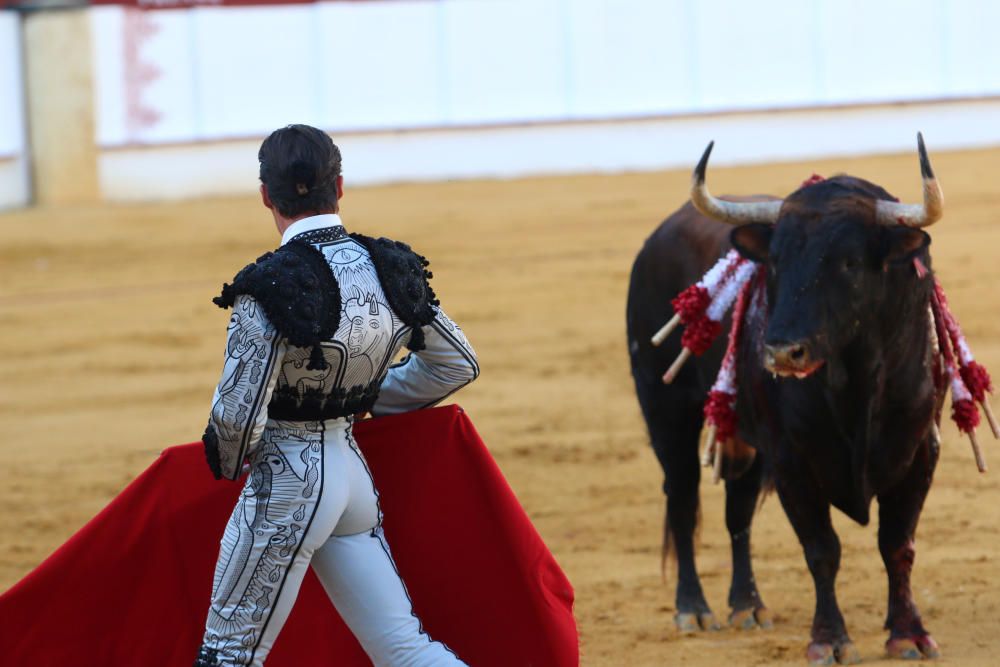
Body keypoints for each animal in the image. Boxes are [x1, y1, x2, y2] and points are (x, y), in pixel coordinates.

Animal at [628, 136, 948, 664]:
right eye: (774, 260)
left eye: (849, 262)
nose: (780, 351)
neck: (855, 382)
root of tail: (657, 239)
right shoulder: (793, 460)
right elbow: (822, 548)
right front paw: (830, 639)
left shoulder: (920, 450)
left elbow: (898, 544)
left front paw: (909, 633)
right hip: (666, 410)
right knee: (683, 500)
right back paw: (693, 609)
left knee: (736, 510)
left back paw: (747, 605)